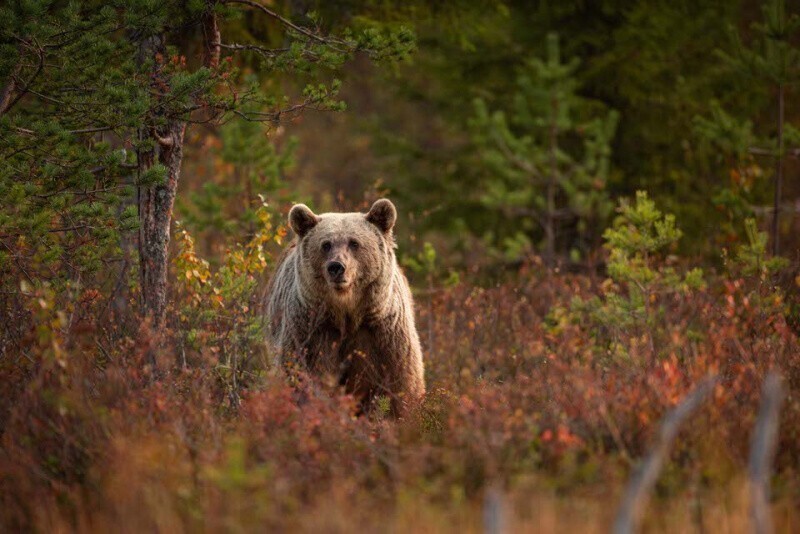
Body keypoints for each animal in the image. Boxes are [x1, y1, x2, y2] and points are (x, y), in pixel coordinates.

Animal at [264, 199, 428, 416]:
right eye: (326, 244)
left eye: (354, 243)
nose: (336, 267)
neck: (347, 313)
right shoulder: (311, 332)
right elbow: (299, 376)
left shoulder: (383, 334)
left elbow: (400, 384)